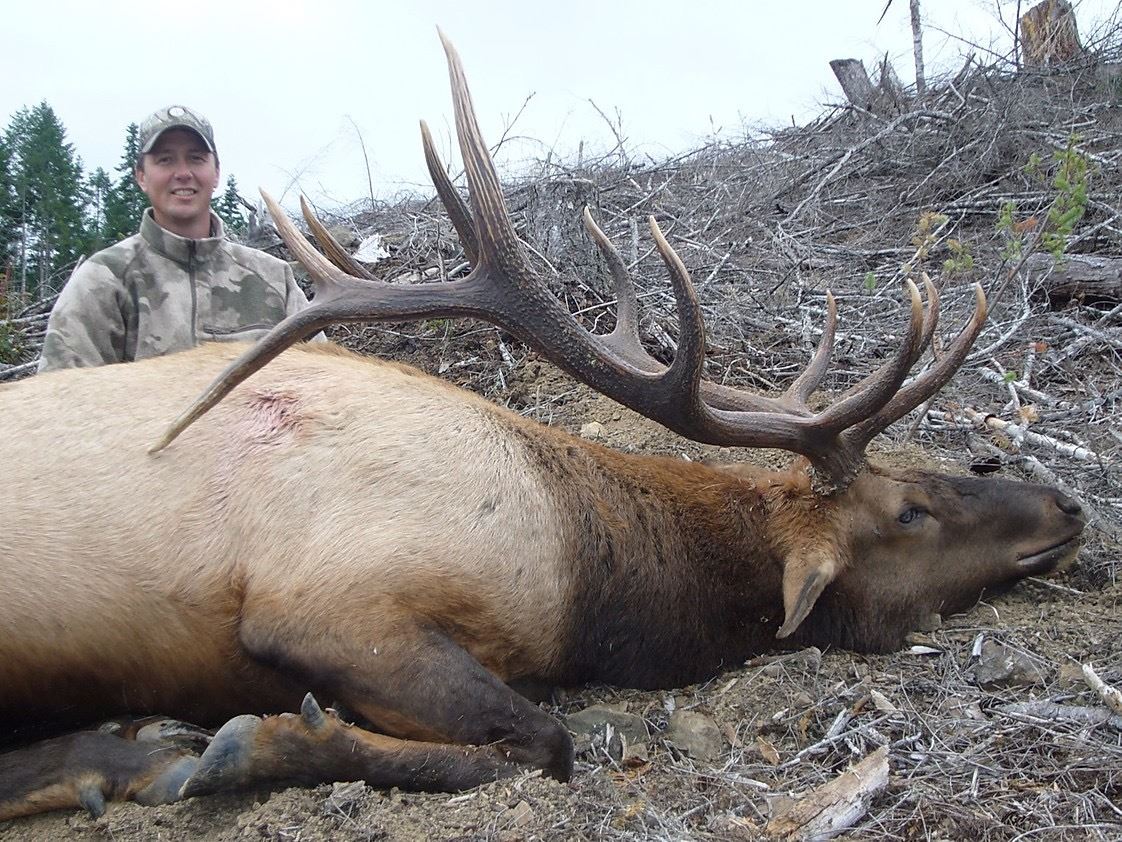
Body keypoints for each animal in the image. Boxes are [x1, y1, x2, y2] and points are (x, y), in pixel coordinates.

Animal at [0, 33, 1085, 822]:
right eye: (909, 511)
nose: (1066, 503)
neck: (587, 572)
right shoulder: (328, 605)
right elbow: (539, 742)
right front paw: (255, 743)